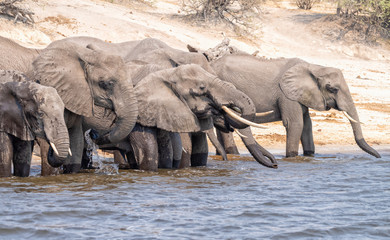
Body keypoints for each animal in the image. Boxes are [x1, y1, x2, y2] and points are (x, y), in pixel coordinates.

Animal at [210, 54, 380, 159]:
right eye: (332, 89)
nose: (378, 156)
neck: (313, 67)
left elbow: (307, 124)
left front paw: (309, 156)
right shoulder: (286, 94)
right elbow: (295, 123)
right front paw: (292, 157)